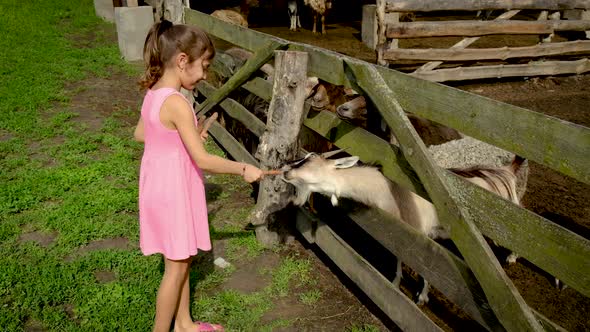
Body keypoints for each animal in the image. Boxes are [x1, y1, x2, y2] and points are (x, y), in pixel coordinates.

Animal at [284, 152, 528, 304]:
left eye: (309, 159)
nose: (285, 170)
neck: (391, 193)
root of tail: (505, 171)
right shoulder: (401, 234)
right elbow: (399, 258)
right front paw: (395, 283)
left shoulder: (421, 237)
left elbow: (424, 267)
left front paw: (421, 297)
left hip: (511, 215)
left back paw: (512, 257)